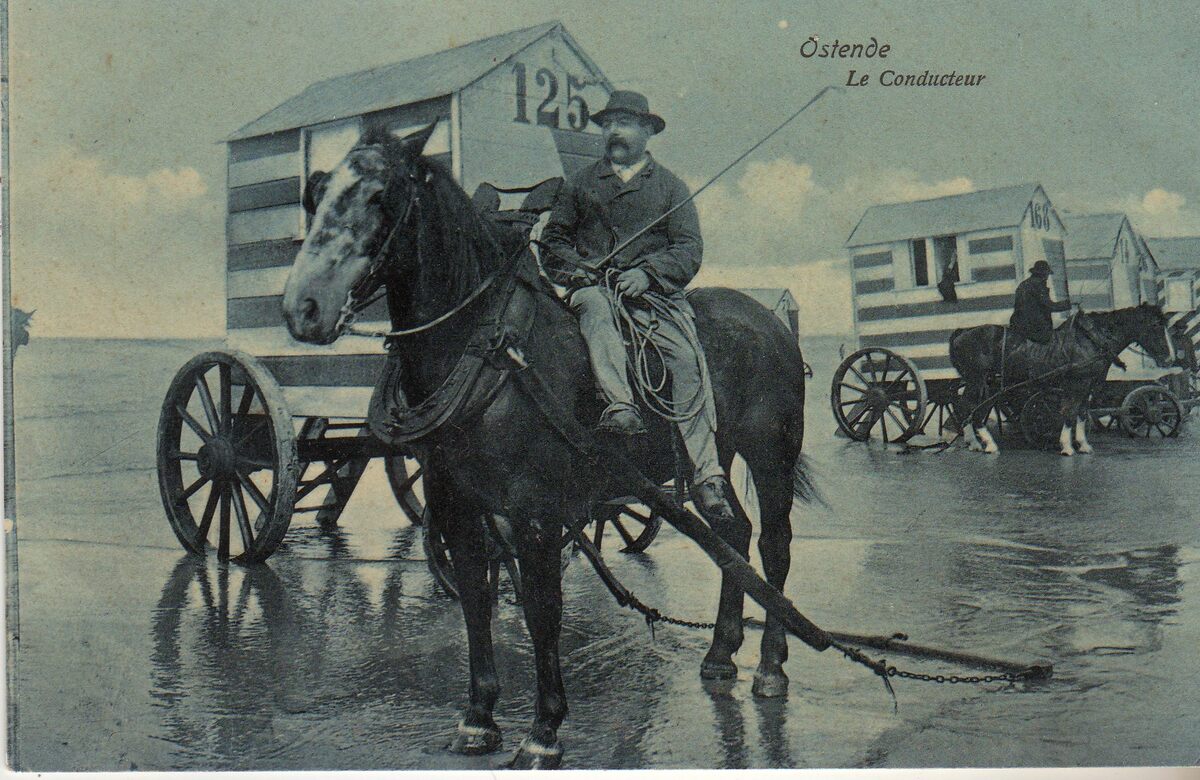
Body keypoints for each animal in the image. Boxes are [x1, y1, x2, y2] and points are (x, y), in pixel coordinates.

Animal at [281, 125, 815, 768]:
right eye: (315, 193)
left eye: (381, 195)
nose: (303, 308)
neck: (491, 355)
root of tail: (772, 320)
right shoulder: (456, 506)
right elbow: (476, 601)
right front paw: (478, 718)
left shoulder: (535, 512)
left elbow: (542, 611)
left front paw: (543, 731)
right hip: (712, 455)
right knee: (731, 534)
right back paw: (718, 655)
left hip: (770, 456)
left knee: (774, 547)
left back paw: (770, 667)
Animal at [948, 303, 1174, 456]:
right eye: (1155, 325)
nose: (1169, 358)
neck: (1092, 340)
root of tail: (962, 332)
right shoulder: (1078, 383)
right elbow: (1069, 412)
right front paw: (1067, 446)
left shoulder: (1088, 385)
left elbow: (1082, 413)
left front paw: (1083, 444)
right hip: (980, 381)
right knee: (971, 409)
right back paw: (988, 445)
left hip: (984, 383)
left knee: (965, 408)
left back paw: (974, 443)